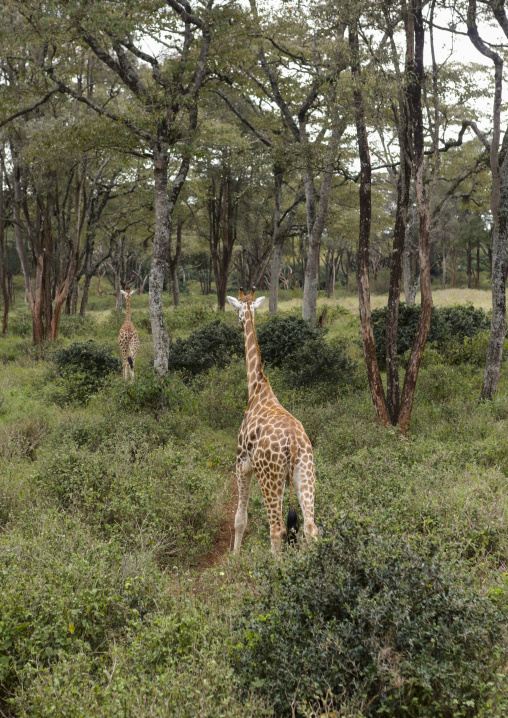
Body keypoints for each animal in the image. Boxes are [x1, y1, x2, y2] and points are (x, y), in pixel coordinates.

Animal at [227, 287, 319, 554]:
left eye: (236, 310)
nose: (238, 325)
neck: (257, 388)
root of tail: (294, 443)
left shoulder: (242, 463)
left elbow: (240, 518)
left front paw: (234, 556)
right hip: (305, 473)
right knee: (311, 528)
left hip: (270, 478)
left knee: (277, 530)